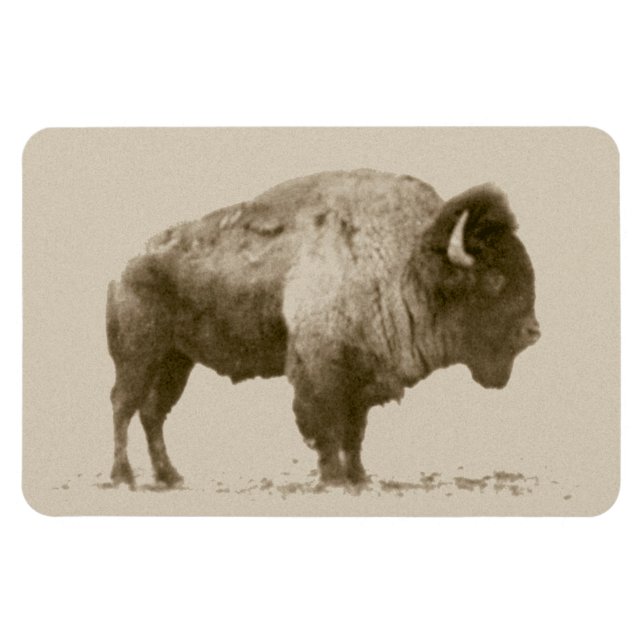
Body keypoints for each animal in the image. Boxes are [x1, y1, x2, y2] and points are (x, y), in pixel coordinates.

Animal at [106, 169, 540, 488]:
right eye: (494, 279)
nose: (533, 331)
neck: (406, 265)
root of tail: (125, 267)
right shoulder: (320, 373)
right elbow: (327, 428)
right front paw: (334, 480)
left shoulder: (361, 379)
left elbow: (355, 432)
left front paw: (360, 478)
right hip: (138, 357)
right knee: (123, 406)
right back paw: (124, 476)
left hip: (176, 362)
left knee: (152, 413)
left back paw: (169, 476)